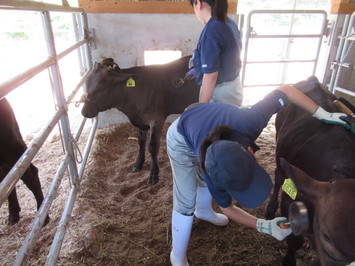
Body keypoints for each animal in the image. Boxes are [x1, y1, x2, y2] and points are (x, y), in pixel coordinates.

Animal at [81, 56, 202, 185]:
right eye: (86, 84)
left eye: (101, 88)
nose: (84, 112)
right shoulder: (140, 120)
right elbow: (140, 141)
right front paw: (138, 163)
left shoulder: (156, 119)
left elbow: (152, 146)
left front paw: (153, 174)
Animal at [268, 76, 355, 264]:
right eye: (328, 237)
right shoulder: (291, 200)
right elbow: (295, 241)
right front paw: (288, 261)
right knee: (278, 177)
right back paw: (270, 209)